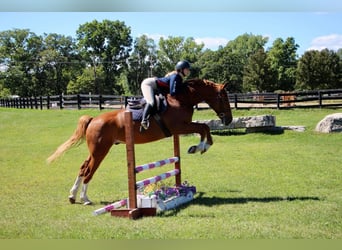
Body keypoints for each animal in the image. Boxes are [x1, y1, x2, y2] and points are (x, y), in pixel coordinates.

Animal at [46, 78, 232, 205]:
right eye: (224, 98)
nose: (229, 120)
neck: (181, 99)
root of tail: (93, 119)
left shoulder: (182, 128)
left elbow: (204, 128)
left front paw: (200, 147)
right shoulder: (179, 128)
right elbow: (203, 128)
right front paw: (199, 147)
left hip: (95, 150)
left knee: (83, 167)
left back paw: (72, 196)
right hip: (100, 150)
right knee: (88, 171)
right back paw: (85, 198)